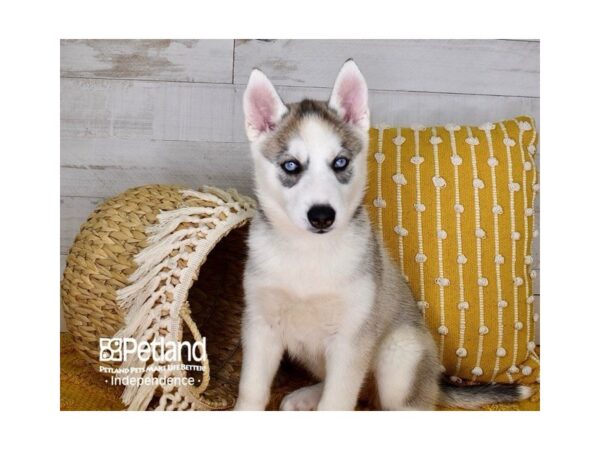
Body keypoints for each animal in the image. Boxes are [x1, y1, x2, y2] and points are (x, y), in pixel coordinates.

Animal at [234, 60, 528, 412]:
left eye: (340, 162)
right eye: (291, 166)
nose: (322, 216)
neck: (309, 251)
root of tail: (435, 382)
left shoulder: (352, 338)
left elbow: (336, 402)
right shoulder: (260, 326)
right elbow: (251, 390)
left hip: (399, 354)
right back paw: (305, 396)